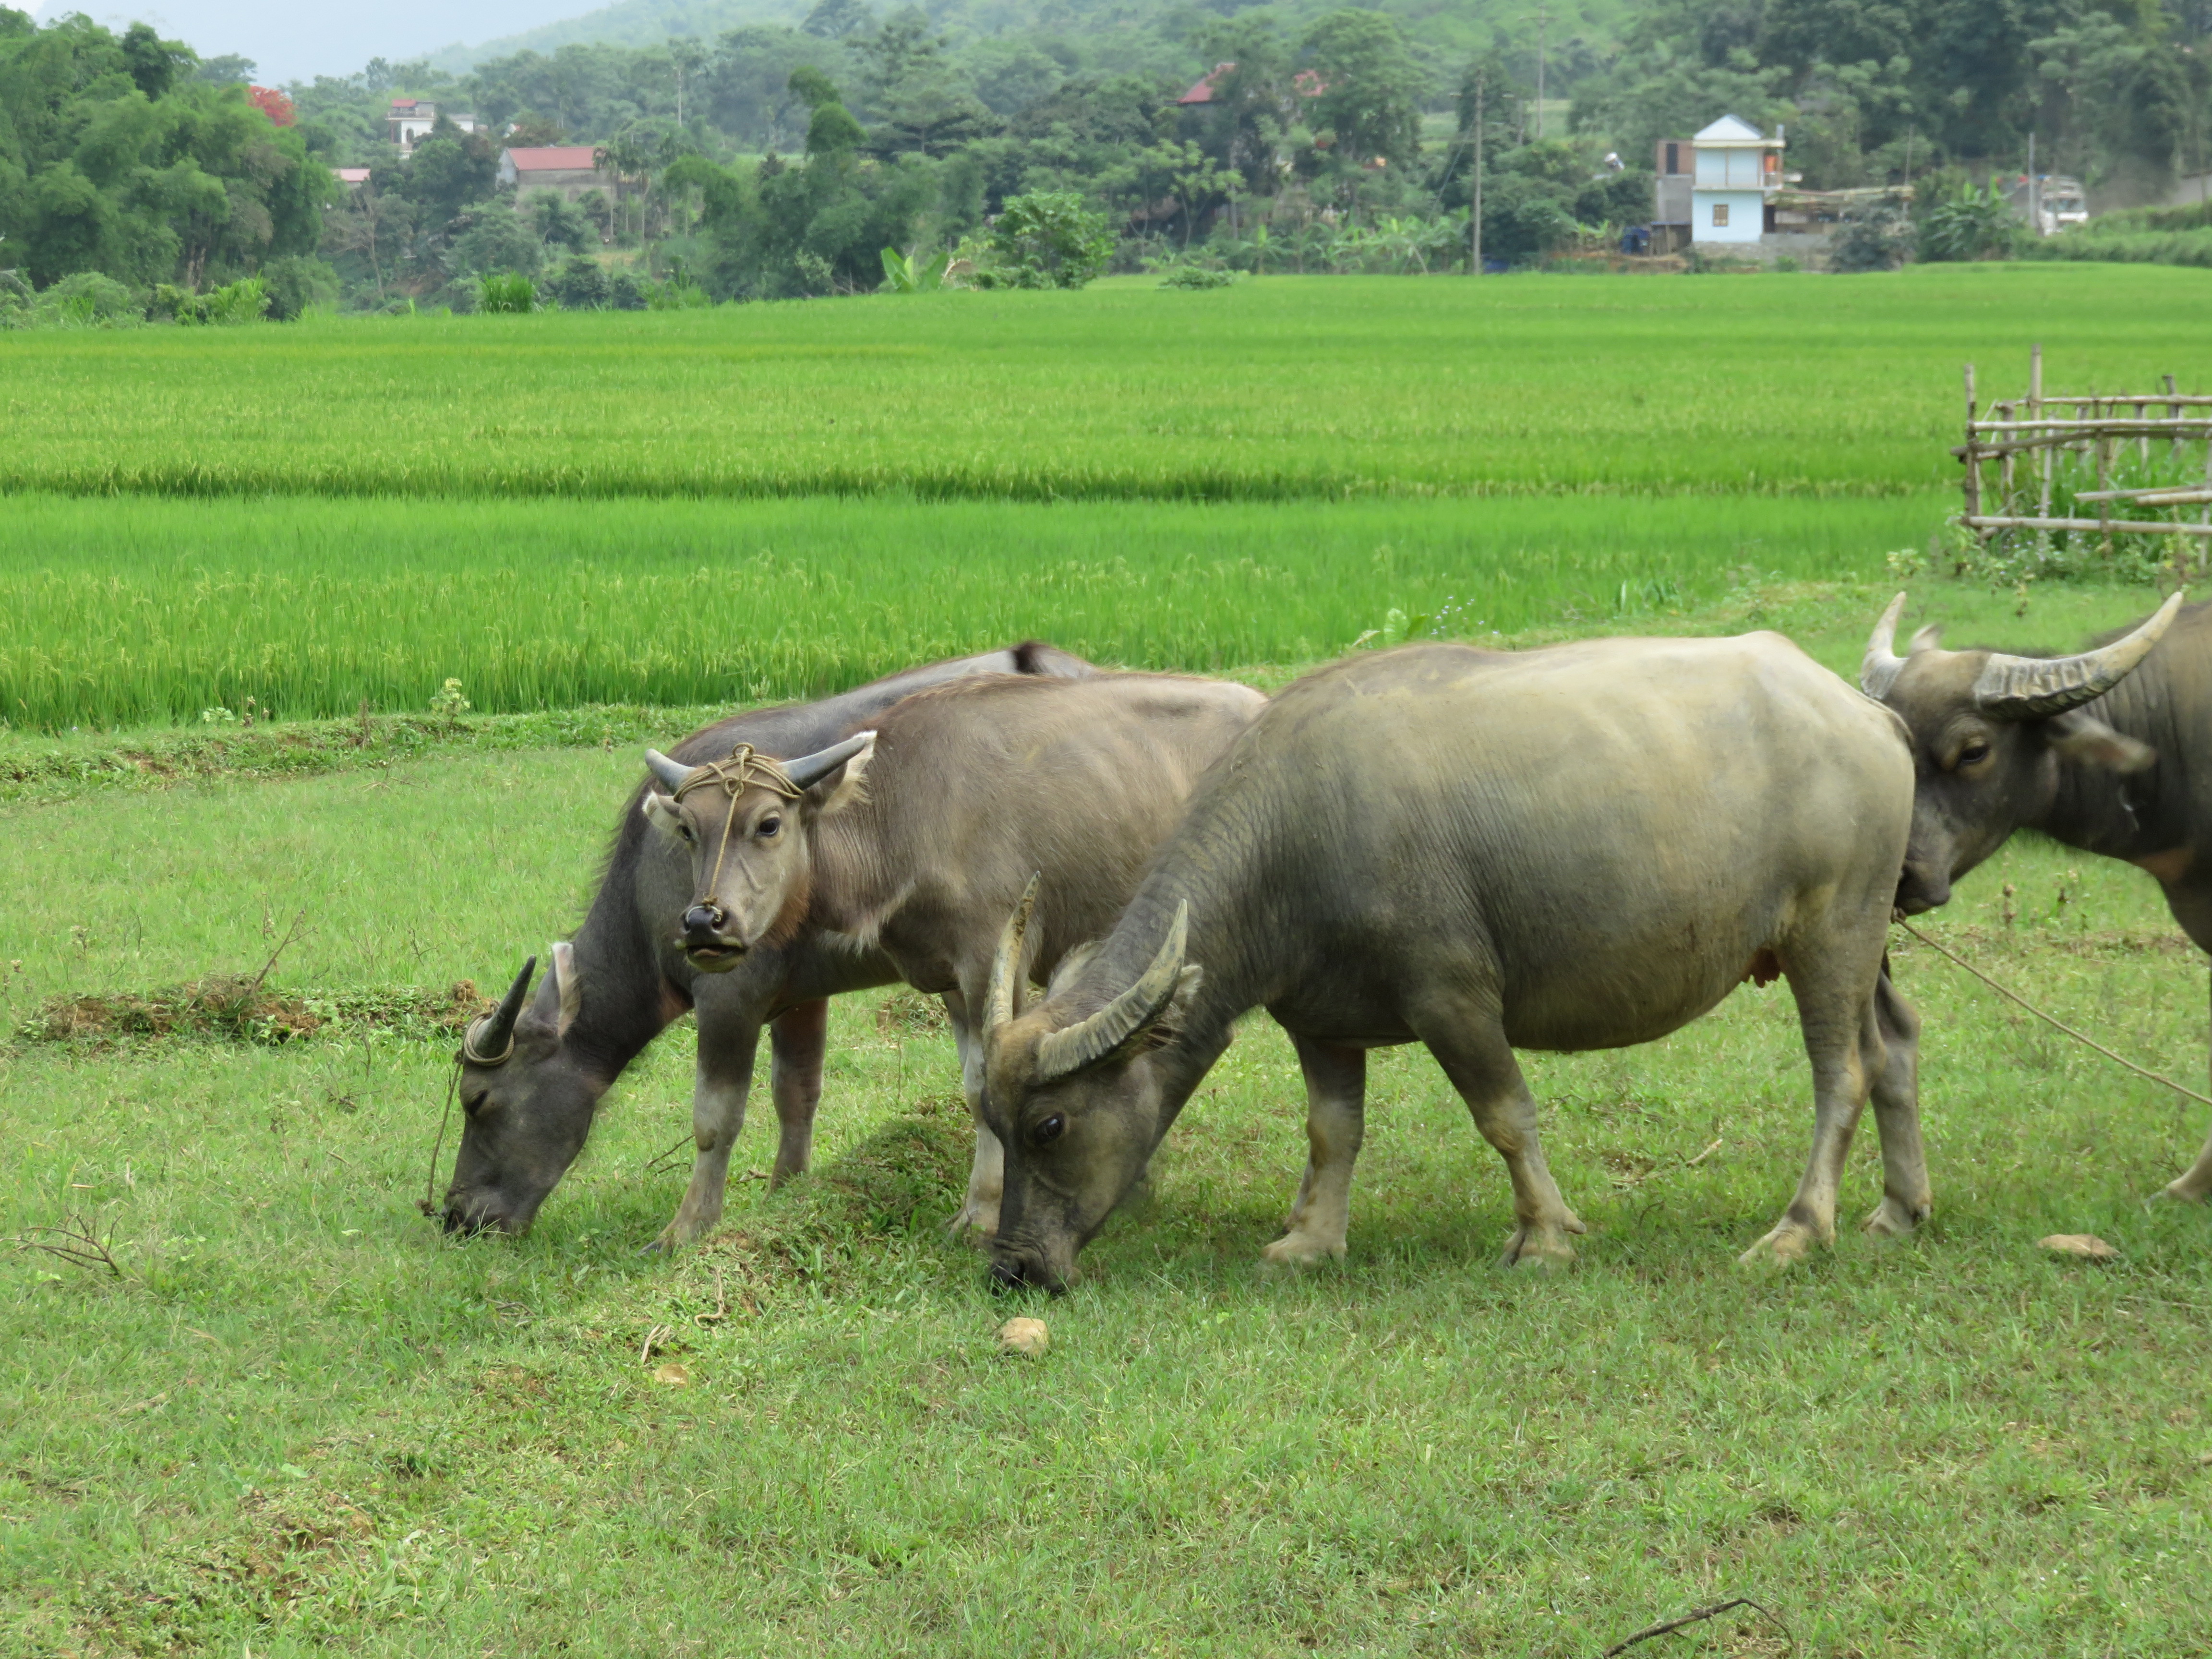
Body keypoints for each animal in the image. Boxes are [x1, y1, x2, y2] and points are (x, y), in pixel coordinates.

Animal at [439, 643, 1093, 1247]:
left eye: (478, 1100)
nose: (456, 1214)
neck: (651, 882)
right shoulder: (802, 997)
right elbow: (796, 1095)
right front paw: (787, 1195)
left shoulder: (729, 996)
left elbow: (715, 1118)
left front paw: (686, 1229)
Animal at [636, 670, 1267, 1236]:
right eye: (690, 831)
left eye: (768, 823)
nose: (704, 923)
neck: (904, 818)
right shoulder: (950, 981)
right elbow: (972, 1087)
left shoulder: (993, 961)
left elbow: (992, 1082)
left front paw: (983, 1215)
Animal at [975, 636, 1928, 1293]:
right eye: (989, 1119)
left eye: (1049, 1126)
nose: (1012, 1270)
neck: (1290, 837)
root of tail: (1868, 714)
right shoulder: (1317, 1023)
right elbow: (1332, 1132)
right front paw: (1310, 1241)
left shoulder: (1453, 998)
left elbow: (1504, 1115)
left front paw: (1543, 1236)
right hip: (1867, 943)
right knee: (1895, 1049)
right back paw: (1898, 1209)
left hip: (1830, 932)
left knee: (1842, 1070)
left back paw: (1800, 1228)